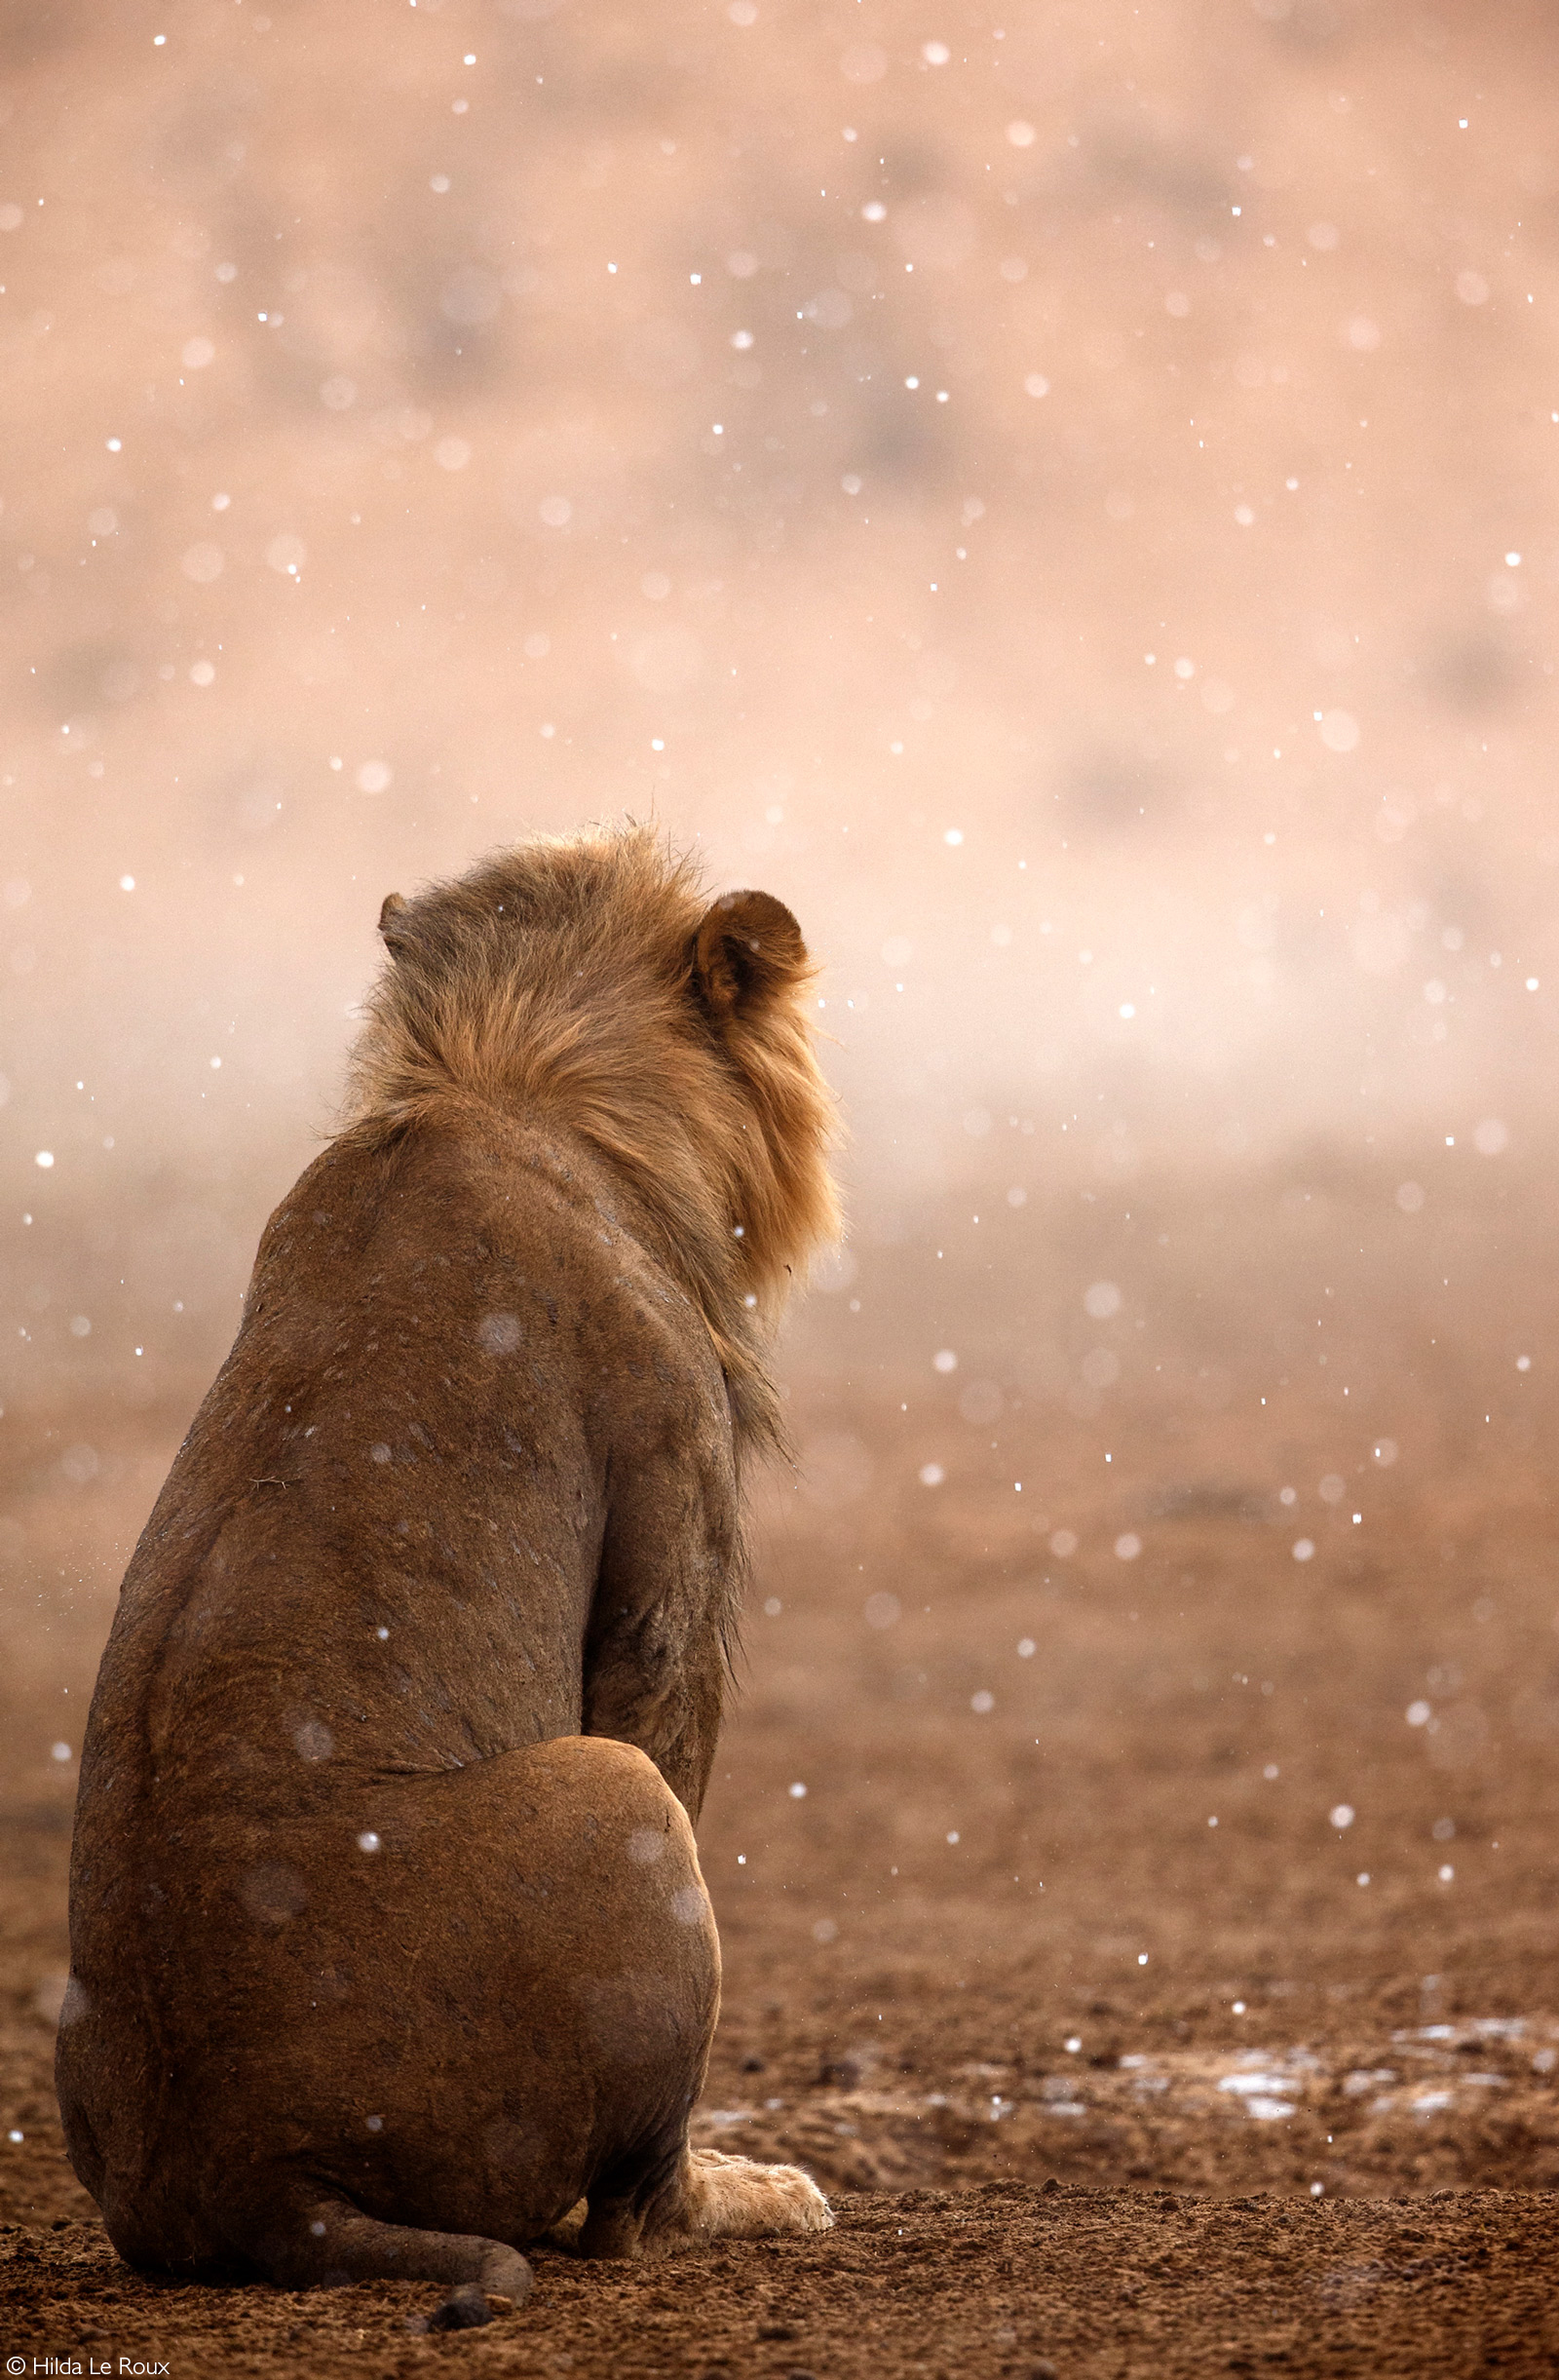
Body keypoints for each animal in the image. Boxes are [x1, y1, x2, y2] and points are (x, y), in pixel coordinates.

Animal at [55, 823, 842, 2322]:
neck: (514, 1082)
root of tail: (258, 2181)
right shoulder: (674, 1530)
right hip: (612, 1799)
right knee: (624, 2218)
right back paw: (749, 2196)